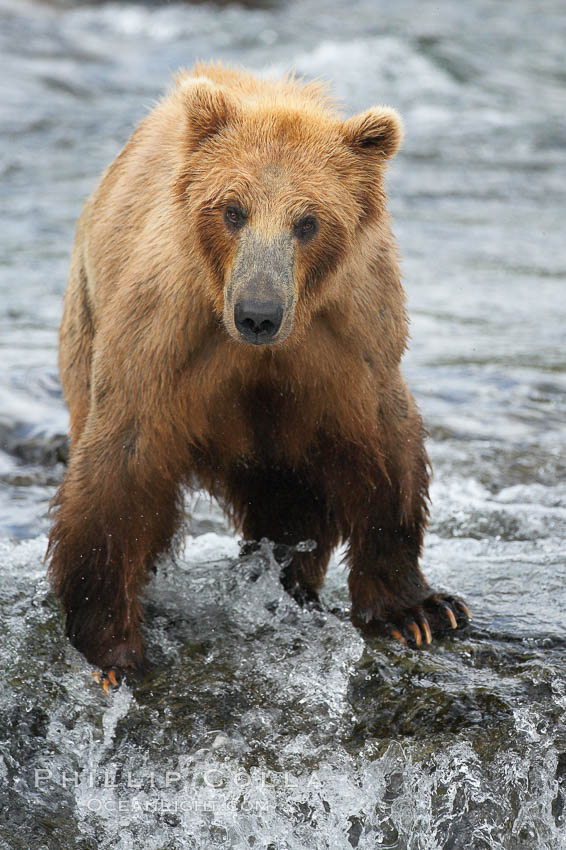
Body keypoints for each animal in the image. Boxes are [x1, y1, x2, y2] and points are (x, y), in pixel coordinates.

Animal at [47, 61, 470, 684]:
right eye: (232, 210)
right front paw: (110, 652)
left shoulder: (349, 343)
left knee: (289, 492)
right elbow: (121, 468)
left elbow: (383, 447)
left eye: (308, 221)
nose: (258, 314)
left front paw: (421, 610)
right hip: (85, 315)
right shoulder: (166, 340)